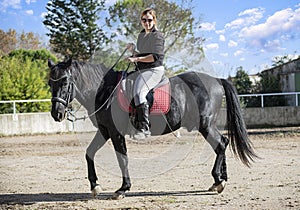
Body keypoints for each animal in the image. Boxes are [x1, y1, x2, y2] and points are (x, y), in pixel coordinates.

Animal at [48, 58, 256, 199]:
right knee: (223, 143)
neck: (105, 91)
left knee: (220, 144)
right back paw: (220, 179)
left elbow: (122, 159)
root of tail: (216, 80)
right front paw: (95, 186)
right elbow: (89, 153)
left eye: (65, 82)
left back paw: (218, 180)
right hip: (206, 126)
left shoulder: (115, 132)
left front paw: (123, 189)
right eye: (50, 83)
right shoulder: (105, 130)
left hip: (205, 125)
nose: (56, 114)